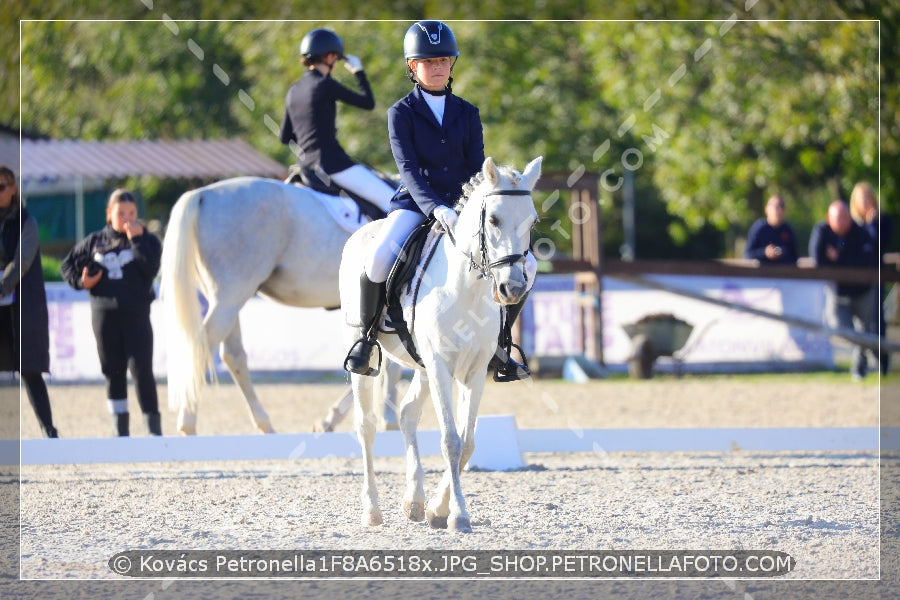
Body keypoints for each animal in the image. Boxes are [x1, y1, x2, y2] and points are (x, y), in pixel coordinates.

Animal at [160, 178, 400, 436]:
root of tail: (202, 194)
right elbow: (389, 362)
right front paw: (388, 420)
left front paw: (336, 419)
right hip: (231, 295)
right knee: (204, 346)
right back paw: (188, 423)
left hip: (227, 299)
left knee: (232, 355)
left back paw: (265, 424)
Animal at [340, 157, 540, 532]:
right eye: (493, 219)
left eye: (532, 220)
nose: (513, 289)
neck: (468, 288)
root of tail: (363, 232)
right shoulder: (441, 366)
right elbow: (450, 440)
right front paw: (459, 514)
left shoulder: (474, 371)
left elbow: (467, 442)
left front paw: (437, 508)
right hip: (373, 356)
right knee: (366, 426)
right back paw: (372, 509)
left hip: (423, 366)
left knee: (407, 414)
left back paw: (414, 501)